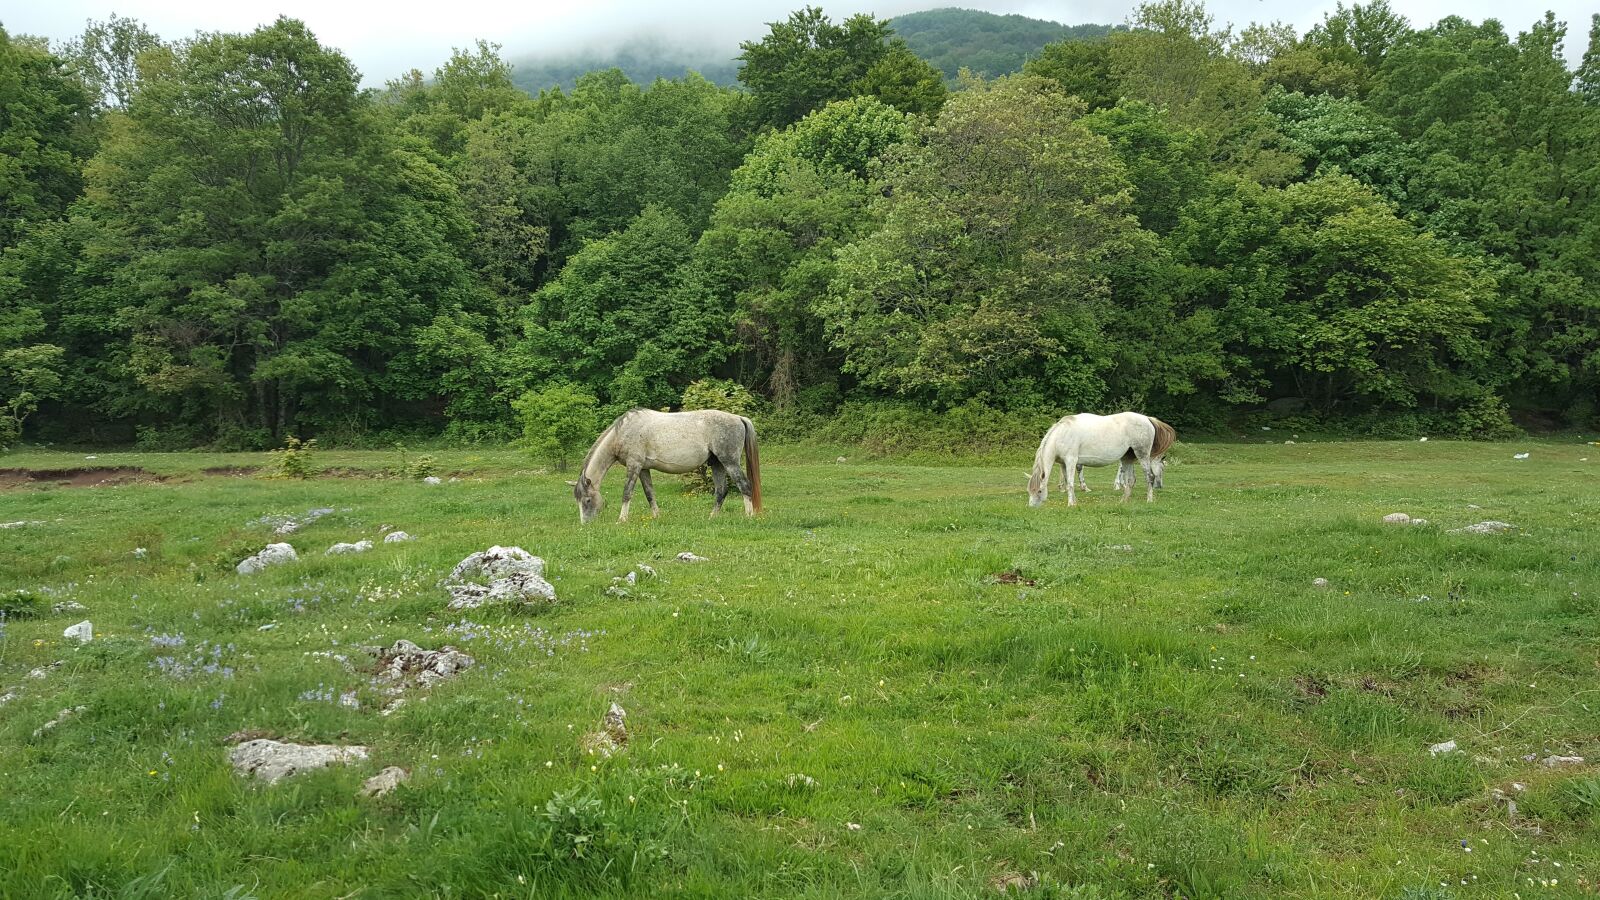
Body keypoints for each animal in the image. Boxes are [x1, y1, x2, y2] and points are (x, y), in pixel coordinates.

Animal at [571, 409, 761, 524]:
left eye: (587, 500)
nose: (585, 523)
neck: (624, 432)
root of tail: (739, 418)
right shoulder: (643, 469)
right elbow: (649, 493)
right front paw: (656, 516)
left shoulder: (634, 466)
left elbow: (627, 493)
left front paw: (621, 519)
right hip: (717, 464)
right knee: (721, 490)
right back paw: (712, 517)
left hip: (730, 462)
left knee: (745, 486)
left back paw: (749, 516)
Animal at [1028, 412, 1176, 507]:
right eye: (1029, 491)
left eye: (1039, 491)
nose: (1032, 506)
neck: (1062, 435)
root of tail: (1147, 419)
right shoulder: (1064, 464)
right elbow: (1068, 481)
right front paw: (1074, 502)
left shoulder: (1071, 461)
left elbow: (1070, 483)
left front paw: (1070, 504)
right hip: (1127, 458)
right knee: (1130, 480)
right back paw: (1123, 501)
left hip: (1142, 455)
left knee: (1149, 477)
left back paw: (1149, 500)